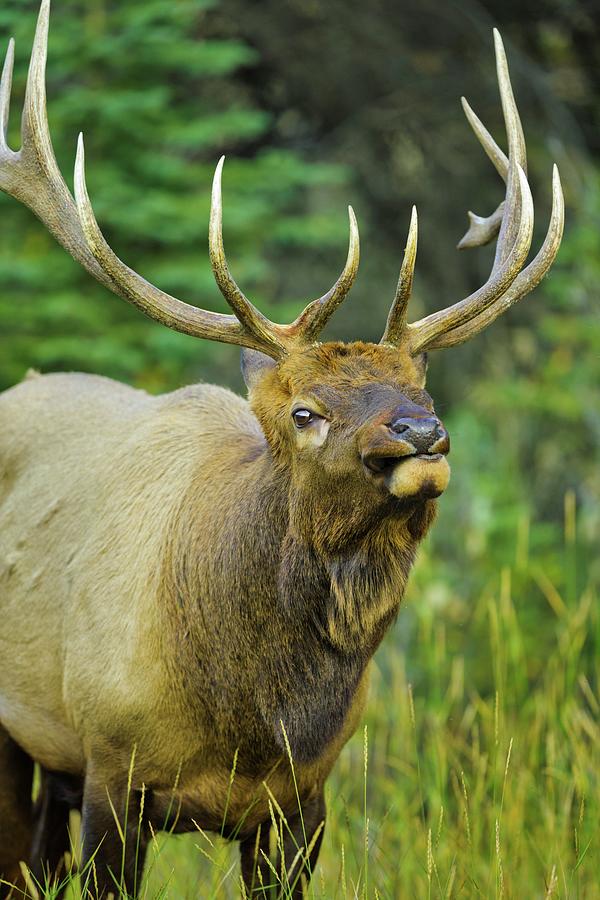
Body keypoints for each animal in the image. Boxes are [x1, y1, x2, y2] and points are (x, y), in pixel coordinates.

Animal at [1, 3, 564, 896]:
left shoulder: (303, 799)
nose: (422, 434)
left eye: (424, 390)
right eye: (306, 411)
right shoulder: (109, 767)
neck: (251, 719)